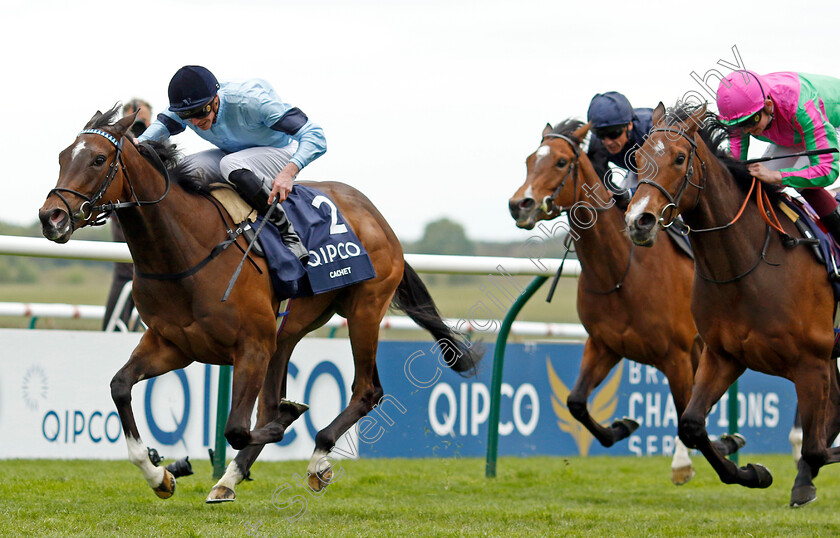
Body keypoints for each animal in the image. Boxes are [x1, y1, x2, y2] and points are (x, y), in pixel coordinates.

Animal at [39, 107, 482, 500]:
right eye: (61, 156)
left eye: (98, 159)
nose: (51, 217)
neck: (184, 250)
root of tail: (377, 216)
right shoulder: (173, 344)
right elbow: (120, 387)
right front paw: (160, 474)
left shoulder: (250, 346)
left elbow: (240, 427)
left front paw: (284, 422)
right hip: (285, 335)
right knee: (274, 402)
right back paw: (228, 480)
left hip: (364, 310)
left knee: (366, 391)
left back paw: (317, 458)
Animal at [506, 120, 740, 482]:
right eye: (530, 160)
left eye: (561, 162)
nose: (520, 204)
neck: (621, 274)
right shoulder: (604, 345)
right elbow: (576, 402)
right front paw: (622, 427)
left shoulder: (676, 355)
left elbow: (685, 413)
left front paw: (687, 462)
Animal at [624, 101, 840, 506]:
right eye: (639, 158)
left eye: (679, 158)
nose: (637, 221)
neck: (746, 265)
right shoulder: (723, 355)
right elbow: (691, 425)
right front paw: (752, 472)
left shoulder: (812, 362)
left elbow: (816, 447)